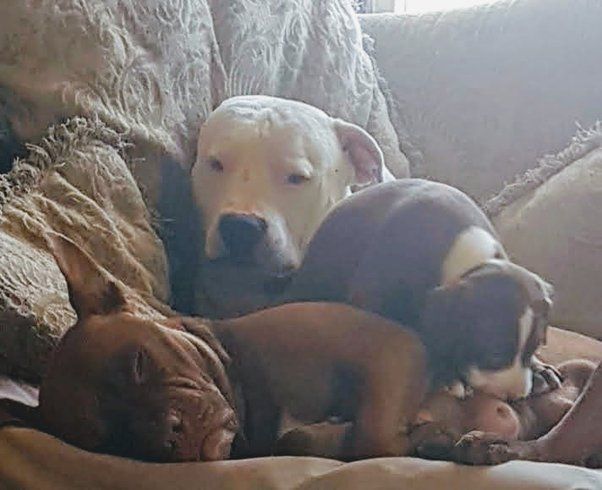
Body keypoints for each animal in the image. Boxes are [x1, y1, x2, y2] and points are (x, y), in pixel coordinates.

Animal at [11, 234, 424, 464]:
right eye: (112, 441)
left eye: (138, 362)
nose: (169, 432)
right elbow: (297, 438)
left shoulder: (389, 349)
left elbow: (374, 436)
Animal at [284, 178, 556, 400]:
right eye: (495, 355)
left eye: (534, 348)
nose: (517, 396)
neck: (469, 261)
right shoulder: (373, 298)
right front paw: (447, 374)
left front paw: (539, 369)